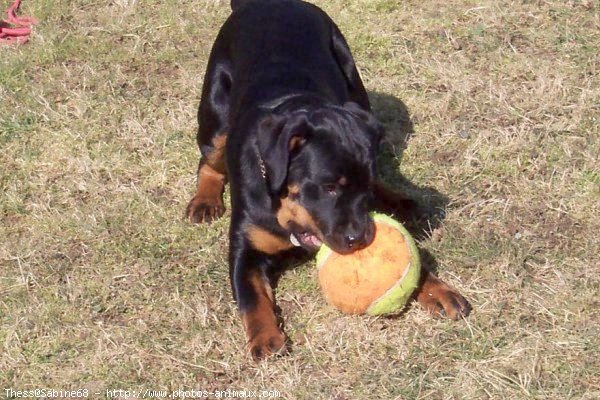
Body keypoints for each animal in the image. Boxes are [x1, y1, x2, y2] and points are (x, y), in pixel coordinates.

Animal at [185, 0, 472, 362]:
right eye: (329, 187)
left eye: (363, 190)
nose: (361, 237)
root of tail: (260, 3)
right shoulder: (244, 248)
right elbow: (251, 296)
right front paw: (265, 338)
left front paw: (438, 290)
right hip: (215, 115)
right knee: (208, 160)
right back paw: (204, 201)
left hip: (354, 81)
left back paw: (404, 202)